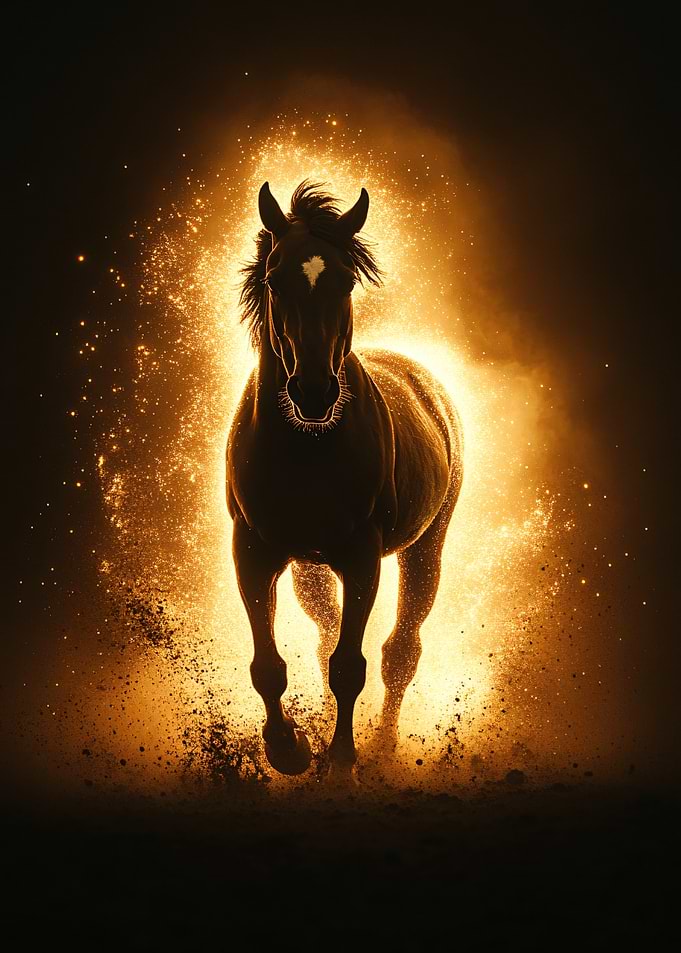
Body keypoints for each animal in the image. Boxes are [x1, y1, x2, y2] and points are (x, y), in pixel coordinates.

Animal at [226, 180, 463, 780]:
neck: (306, 449)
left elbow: (349, 666)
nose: (313, 392)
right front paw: (288, 749)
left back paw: (382, 747)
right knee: (327, 632)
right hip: (309, 569)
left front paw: (339, 763)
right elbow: (268, 664)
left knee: (401, 652)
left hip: (425, 547)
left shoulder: (362, 556)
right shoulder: (252, 550)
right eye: (274, 278)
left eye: (346, 280)